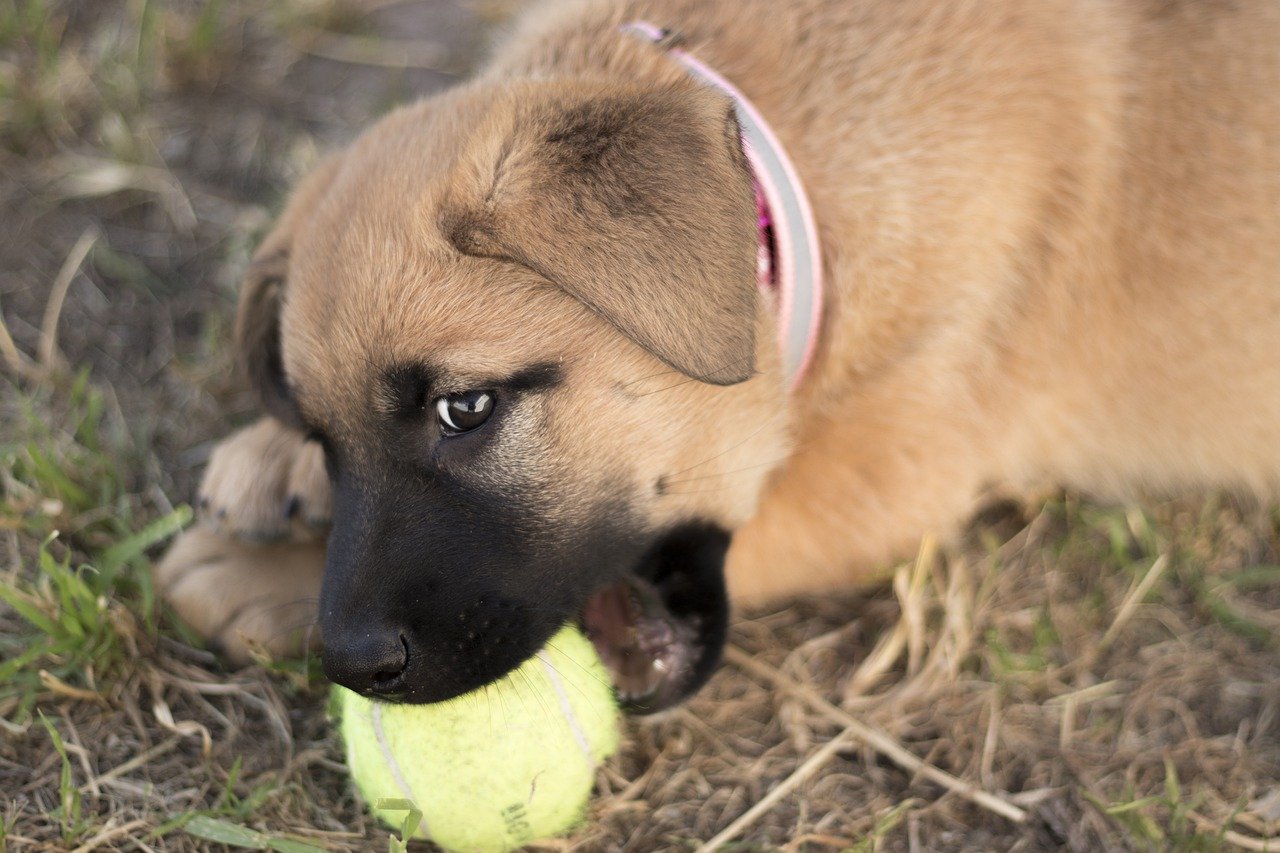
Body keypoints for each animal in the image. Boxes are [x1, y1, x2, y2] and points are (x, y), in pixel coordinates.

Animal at [157, 0, 1280, 712]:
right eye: (325, 437)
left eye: (465, 410)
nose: (351, 660)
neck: (794, 218)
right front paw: (269, 465)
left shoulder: (895, 470)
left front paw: (264, 573)